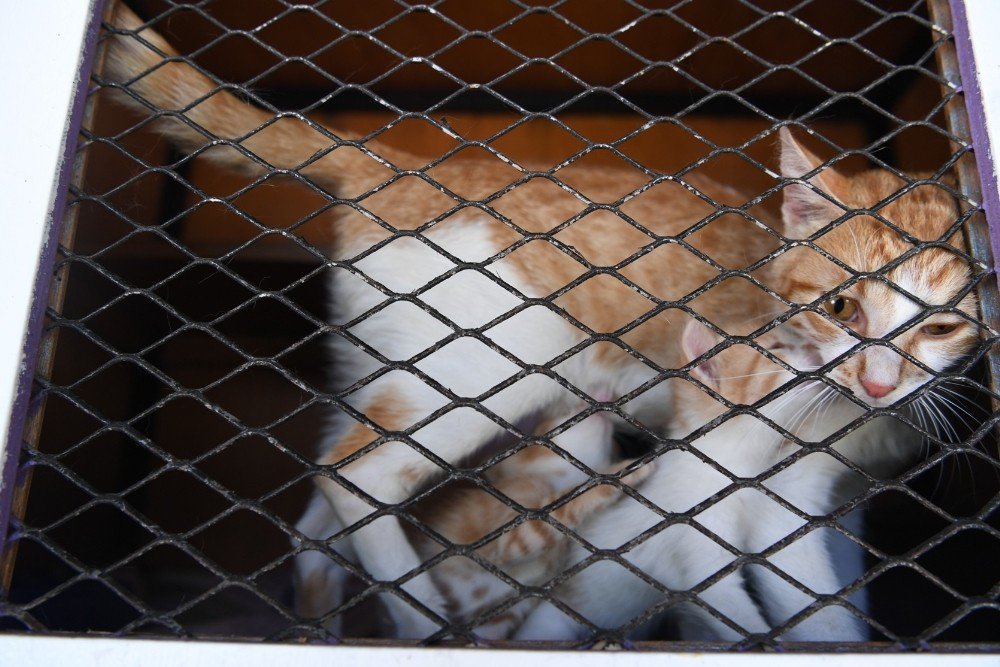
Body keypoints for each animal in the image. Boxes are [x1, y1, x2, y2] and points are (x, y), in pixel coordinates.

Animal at [99, 3, 976, 640]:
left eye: (941, 328)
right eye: (840, 307)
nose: (877, 381)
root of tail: (398, 162)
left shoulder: (833, 504)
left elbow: (835, 605)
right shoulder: (774, 489)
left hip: (386, 376)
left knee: (317, 520)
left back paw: (326, 632)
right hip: (469, 378)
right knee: (355, 478)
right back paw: (421, 623)